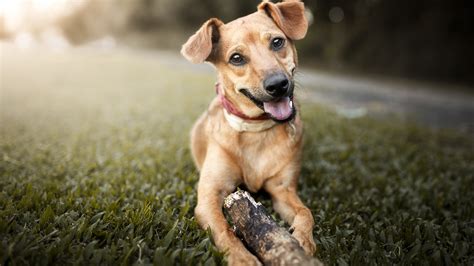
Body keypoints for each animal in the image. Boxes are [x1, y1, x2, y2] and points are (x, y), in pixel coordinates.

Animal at [183, 1, 316, 264]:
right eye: (236, 58)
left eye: (277, 42)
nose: (278, 84)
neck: (257, 130)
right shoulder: (209, 198)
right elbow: (224, 230)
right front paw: (241, 258)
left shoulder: (282, 190)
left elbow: (306, 212)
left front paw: (304, 240)